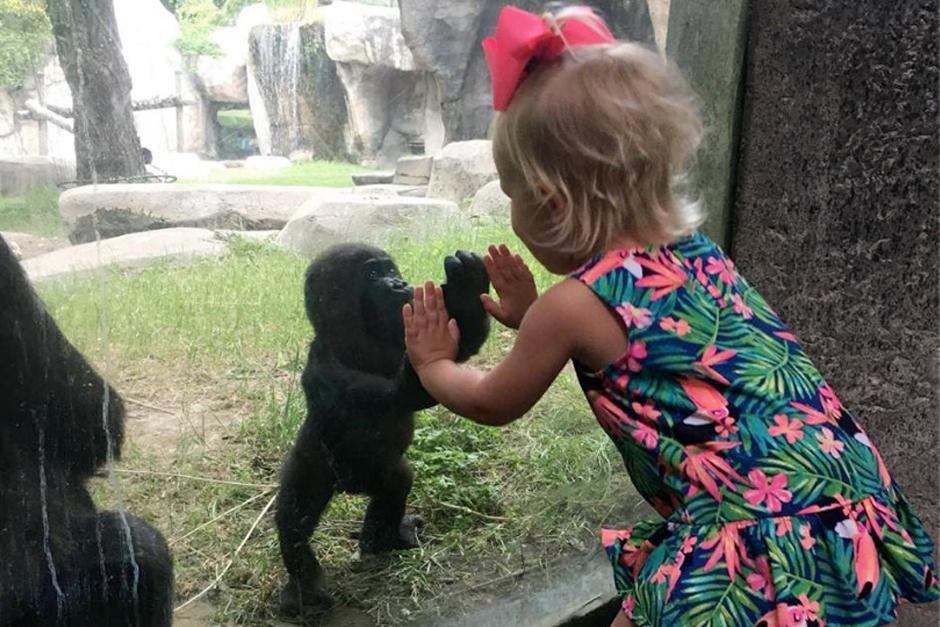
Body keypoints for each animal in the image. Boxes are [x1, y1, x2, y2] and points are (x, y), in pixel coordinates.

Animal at [276, 243, 488, 616]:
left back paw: (381, 541)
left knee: (396, 482)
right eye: (373, 275)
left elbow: (455, 352)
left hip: (376, 476)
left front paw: (468, 286)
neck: (356, 334)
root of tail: (348, 488)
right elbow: (403, 393)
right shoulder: (325, 364)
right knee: (293, 517)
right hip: (312, 461)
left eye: (390, 270)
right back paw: (304, 587)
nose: (399, 283)